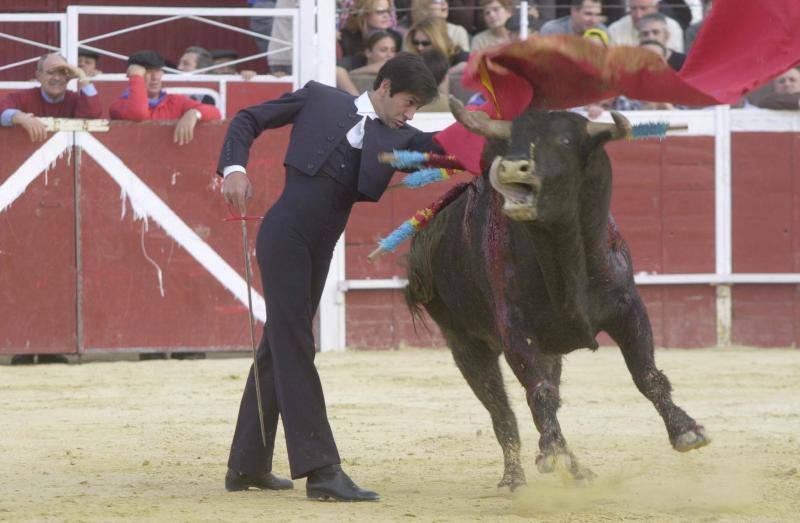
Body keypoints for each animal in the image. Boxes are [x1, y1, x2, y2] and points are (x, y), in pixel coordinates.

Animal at [410, 101, 708, 492]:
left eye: (565, 141)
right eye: (510, 141)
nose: (512, 167)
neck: (562, 253)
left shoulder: (628, 309)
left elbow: (646, 374)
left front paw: (687, 431)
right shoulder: (515, 331)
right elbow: (539, 393)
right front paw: (550, 453)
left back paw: (577, 471)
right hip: (465, 344)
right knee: (502, 410)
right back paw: (516, 477)